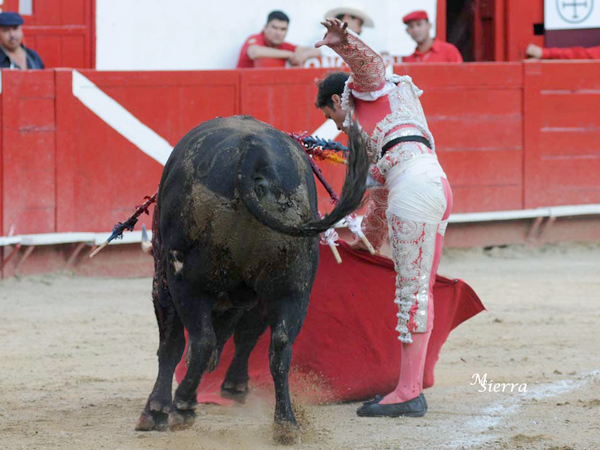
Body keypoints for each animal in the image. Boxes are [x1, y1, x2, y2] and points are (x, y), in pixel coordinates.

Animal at [136, 115, 368, 442]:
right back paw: (285, 424)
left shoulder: (164, 281)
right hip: (293, 288)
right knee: (281, 346)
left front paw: (155, 411)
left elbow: (172, 345)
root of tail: (253, 153)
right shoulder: (254, 297)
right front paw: (234, 386)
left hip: (186, 281)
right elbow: (247, 336)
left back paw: (182, 405)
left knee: (202, 339)